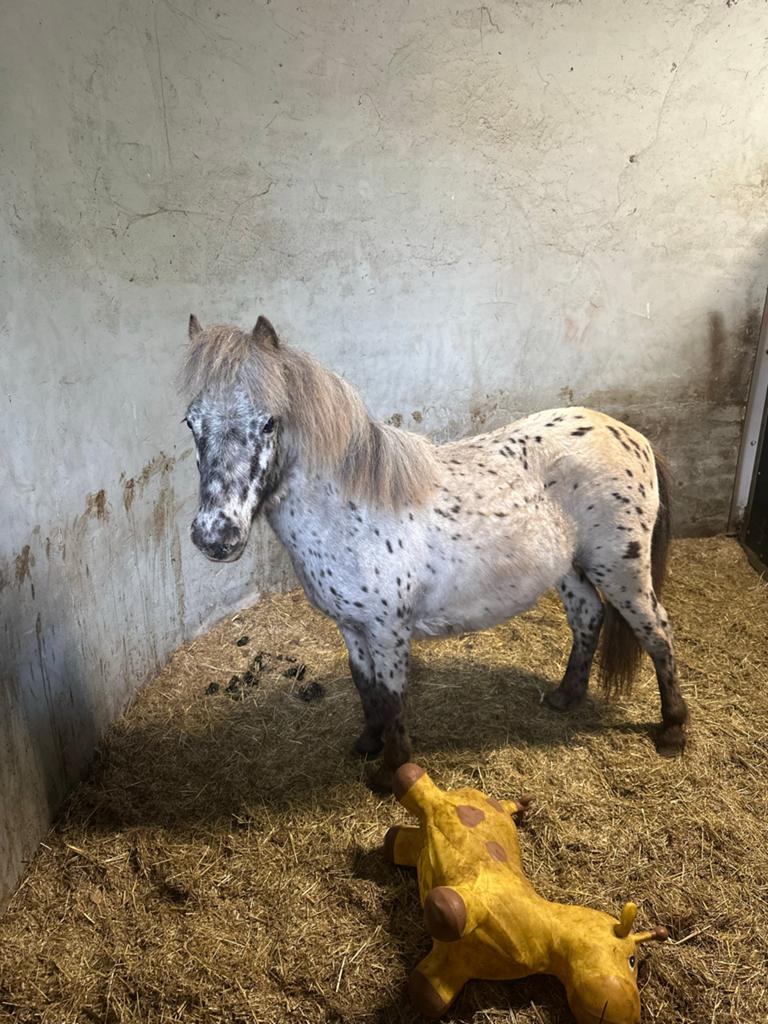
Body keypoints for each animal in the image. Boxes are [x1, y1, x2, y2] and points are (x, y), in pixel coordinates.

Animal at [181, 314, 689, 787]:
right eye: (191, 422)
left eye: (268, 422)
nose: (216, 535)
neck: (352, 511)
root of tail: (632, 436)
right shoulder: (351, 627)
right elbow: (365, 687)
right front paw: (367, 743)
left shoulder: (387, 631)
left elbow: (392, 699)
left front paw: (393, 773)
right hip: (569, 567)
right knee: (587, 616)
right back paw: (566, 697)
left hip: (620, 568)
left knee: (657, 631)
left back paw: (672, 730)